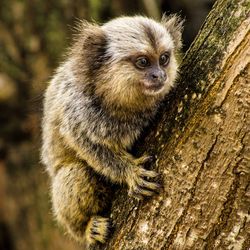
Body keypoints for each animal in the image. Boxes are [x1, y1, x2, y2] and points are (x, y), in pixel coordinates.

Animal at [41, 15, 184, 248]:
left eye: (164, 58)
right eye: (143, 62)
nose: (159, 75)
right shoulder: (78, 110)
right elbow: (87, 144)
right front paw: (130, 172)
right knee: (76, 172)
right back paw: (88, 228)